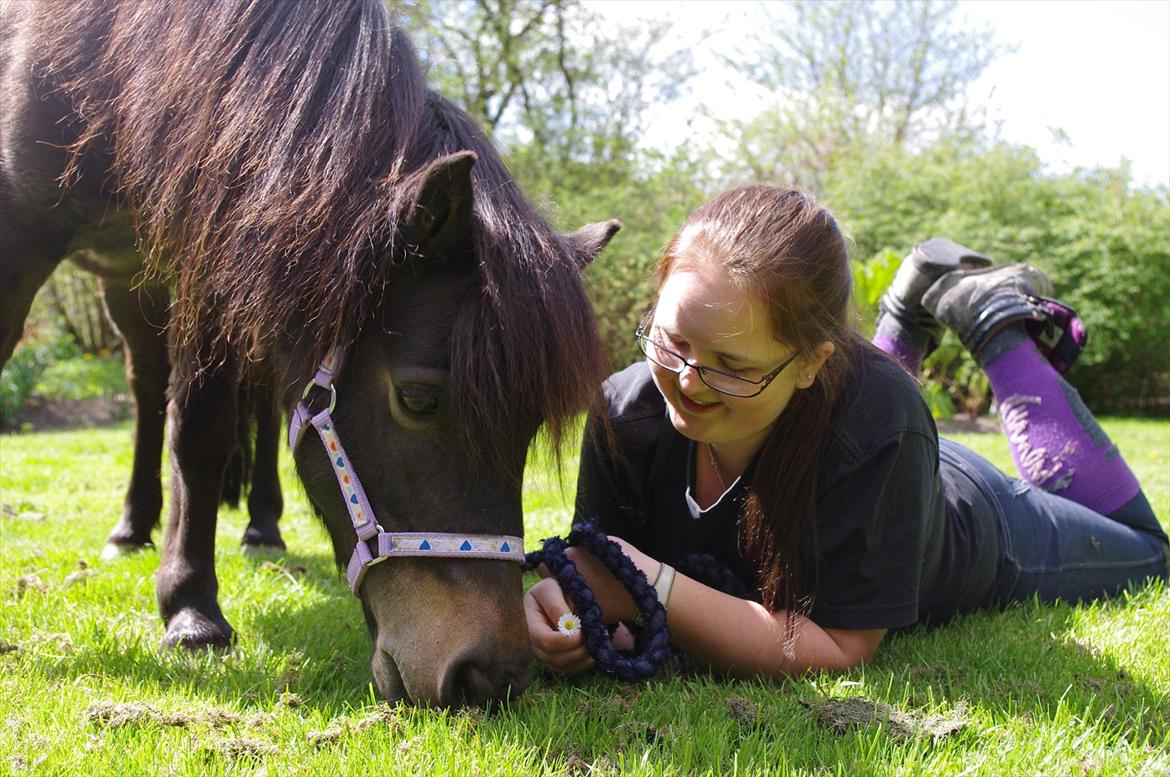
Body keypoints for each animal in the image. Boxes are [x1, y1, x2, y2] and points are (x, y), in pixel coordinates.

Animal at [0, 0, 617, 711]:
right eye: (418, 399)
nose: (489, 676)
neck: (117, 58)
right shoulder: (26, 231)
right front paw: (191, 613)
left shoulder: (219, 255)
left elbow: (206, 432)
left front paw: (191, 602)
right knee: (147, 388)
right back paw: (132, 527)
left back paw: (261, 528)